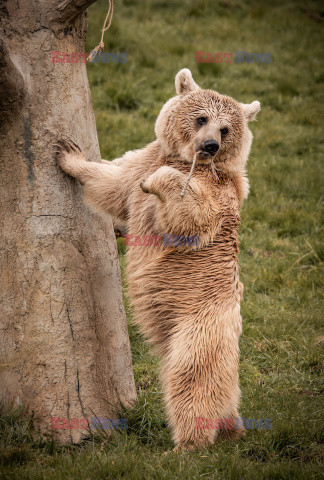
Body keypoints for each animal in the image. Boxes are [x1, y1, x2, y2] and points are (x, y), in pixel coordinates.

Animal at [55, 68, 260, 450]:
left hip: (199, 326)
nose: (210, 145)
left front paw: (70, 156)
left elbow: (186, 215)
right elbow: (117, 181)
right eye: (201, 118)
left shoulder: (214, 194)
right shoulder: (145, 159)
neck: (184, 159)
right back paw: (233, 427)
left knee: (193, 380)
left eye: (226, 128)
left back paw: (188, 445)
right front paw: (77, 155)